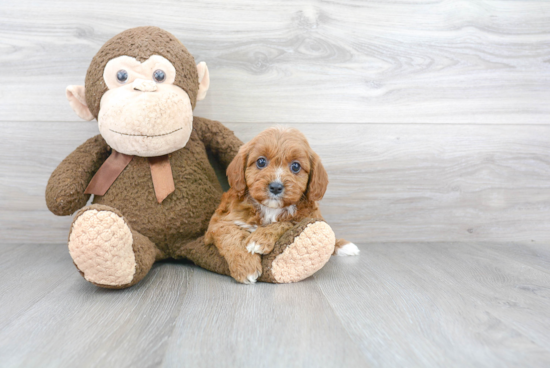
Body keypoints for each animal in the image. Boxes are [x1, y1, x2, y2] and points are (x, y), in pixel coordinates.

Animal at [205, 127, 360, 284]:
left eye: (296, 166)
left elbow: (286, 223)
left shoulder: (307, 217)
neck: (270, 209)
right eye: (261, 162)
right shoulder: (220, 222)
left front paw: (259, 239)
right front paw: (246, 268)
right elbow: (233, 237)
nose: (275, 187)